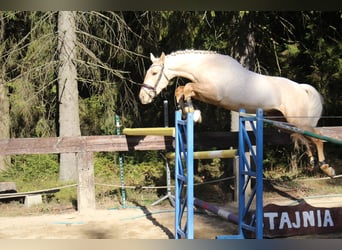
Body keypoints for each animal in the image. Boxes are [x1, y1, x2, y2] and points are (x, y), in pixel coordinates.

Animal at [138, 49, 334, 177]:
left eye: (154, 73)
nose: (143, 97)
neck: (206, 66)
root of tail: (301, 88)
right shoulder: (205, 92)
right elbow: (182, 90)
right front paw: (188, 111)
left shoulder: (212, 93)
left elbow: (187, 87)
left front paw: (193, 113)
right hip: (285, 122)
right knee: (306, 139)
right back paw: (312, 163)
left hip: (297, 120)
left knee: (317, 138)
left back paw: (326, 168)